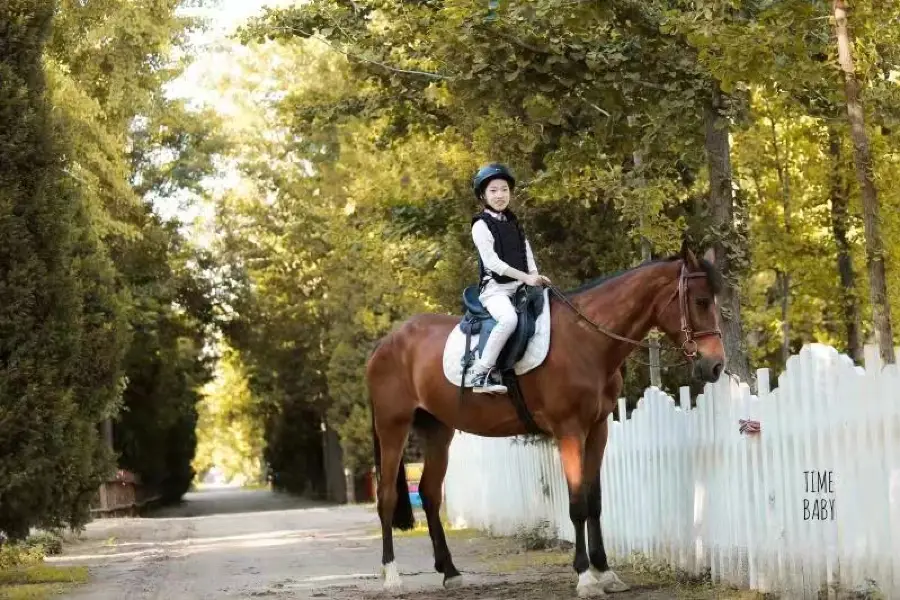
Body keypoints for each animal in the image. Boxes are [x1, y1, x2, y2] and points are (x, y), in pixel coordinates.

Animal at [364, 243, 724, 596]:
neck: (585, 339)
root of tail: (385, 344)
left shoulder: (597, 430)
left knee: (429, 493)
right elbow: (577, 503)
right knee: (387, 497)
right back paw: (392, 577)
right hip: (393, 426)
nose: (716, 365)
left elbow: (594, 501)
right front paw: (585, 577)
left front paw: (606, 572)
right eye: (701, 301)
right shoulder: (569, 430)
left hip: (439, 430)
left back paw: (450, 572)